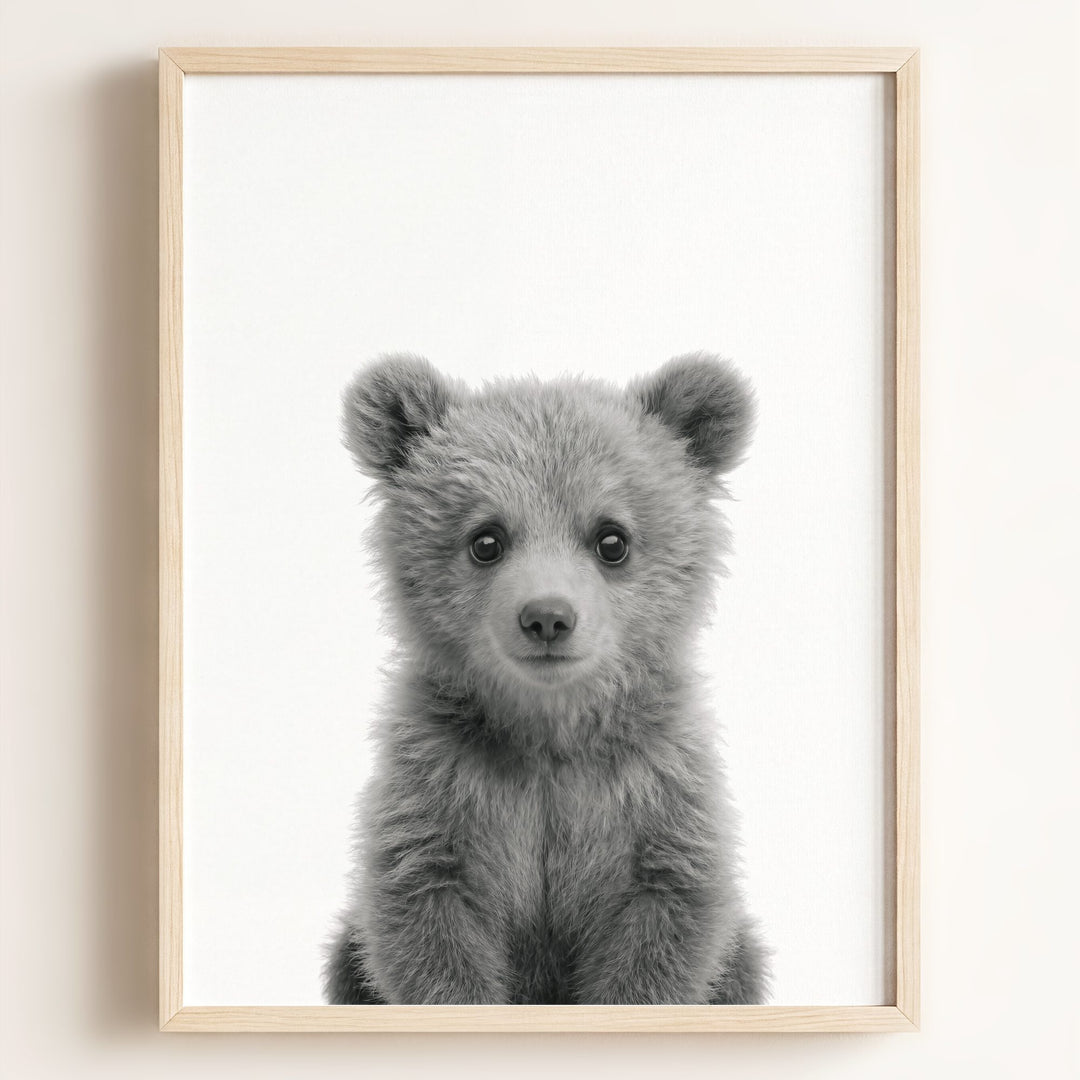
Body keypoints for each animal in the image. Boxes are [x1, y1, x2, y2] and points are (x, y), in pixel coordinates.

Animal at [324, 352, 769, 1005]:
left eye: (612, 539)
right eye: (486, 539)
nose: (548, 617)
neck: (548, 732)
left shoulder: (653, 793)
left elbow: (662, 929)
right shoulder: (441, 787)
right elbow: (428, 923)